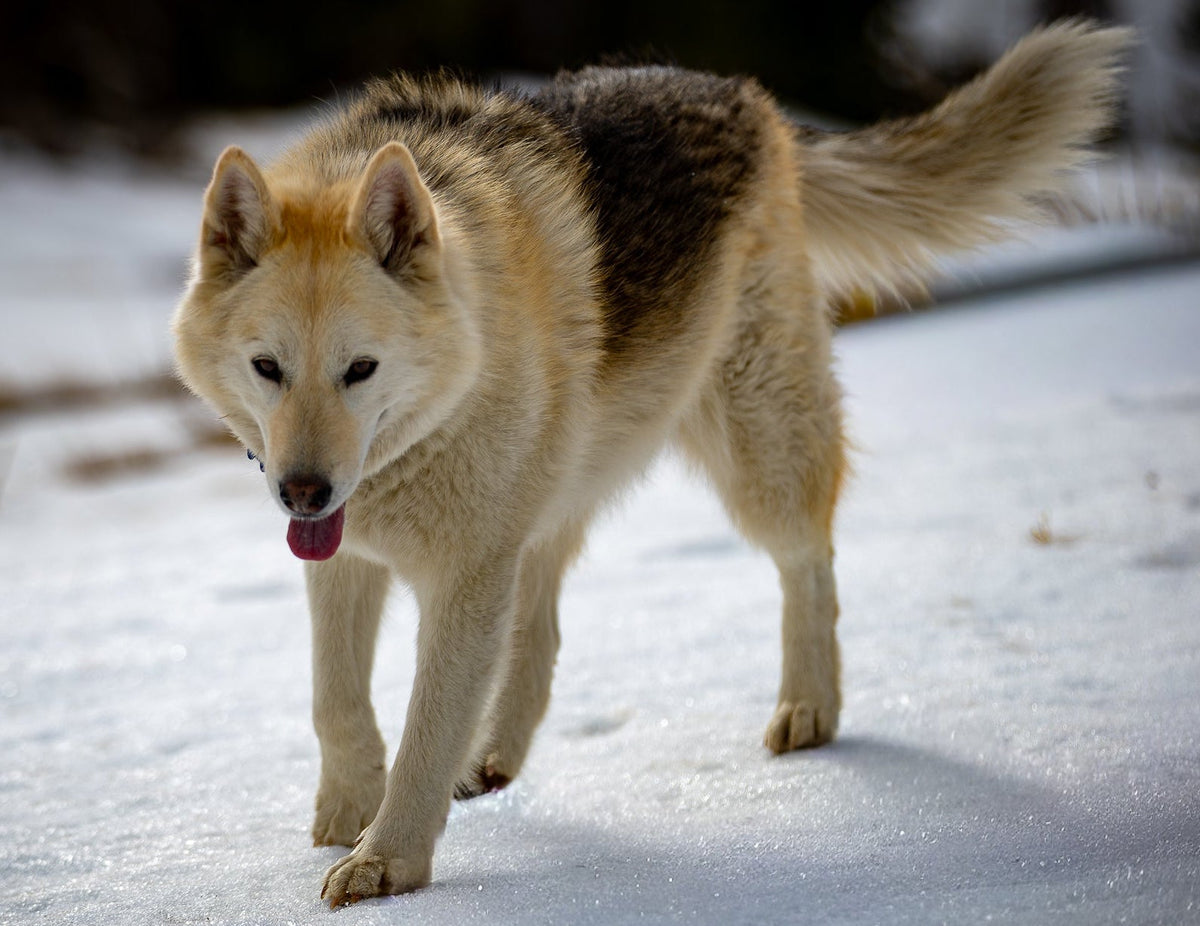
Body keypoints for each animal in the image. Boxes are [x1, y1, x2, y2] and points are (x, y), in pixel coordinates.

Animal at [173, 21, 1127, 906]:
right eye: (269, 368)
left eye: (360, 370)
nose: (302, 493)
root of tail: (747, 97)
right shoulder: (351, 561)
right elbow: (336, 700)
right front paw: (347, 814)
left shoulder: (461, 576)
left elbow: (425, 725)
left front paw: (387, 861)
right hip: (561, 492)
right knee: (543, 627)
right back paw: (494, 756)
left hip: (757, 455)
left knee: (810, 564)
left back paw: (810, 708)